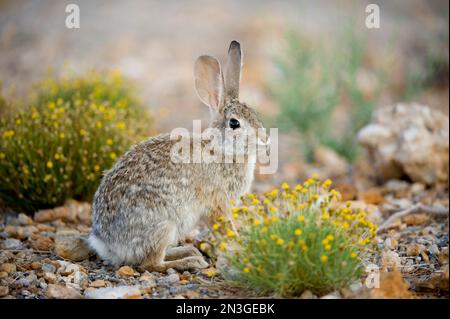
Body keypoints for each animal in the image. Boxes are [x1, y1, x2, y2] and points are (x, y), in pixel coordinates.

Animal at [88, 40, 268, 272]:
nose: (265, 139)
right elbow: (225, 229)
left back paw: (189, 252)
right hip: (164, 226)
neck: (219, 148)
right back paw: (190, 260)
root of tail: (106, 243)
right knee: (151, 263)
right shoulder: (217, 204)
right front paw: (240, 248)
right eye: (234, 123)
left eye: (255, 115)